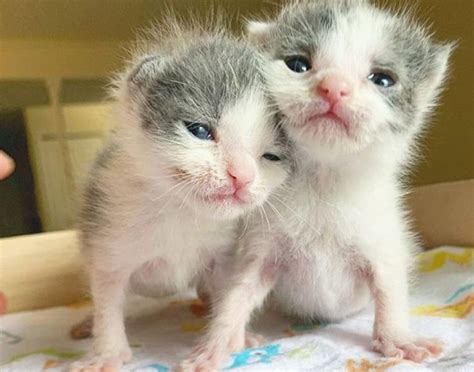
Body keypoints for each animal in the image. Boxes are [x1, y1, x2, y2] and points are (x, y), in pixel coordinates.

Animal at [69, 21, 292, 372]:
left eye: (270, 156)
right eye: (199, 130)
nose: (242, 176)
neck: (181, 210)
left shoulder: (226, 254)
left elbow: (231, 296)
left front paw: (231, 337)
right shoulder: (106, 241)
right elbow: (107, 301)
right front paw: (106, 353)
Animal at [180, 0, 454, 370]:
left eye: (383, 79)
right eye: (298, 64)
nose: (333, 86)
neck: (324, 183)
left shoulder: (383, 238)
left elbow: (389, 288)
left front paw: (399, 339)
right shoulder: (262, 243)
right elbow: (239, 291)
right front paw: (217, 342)